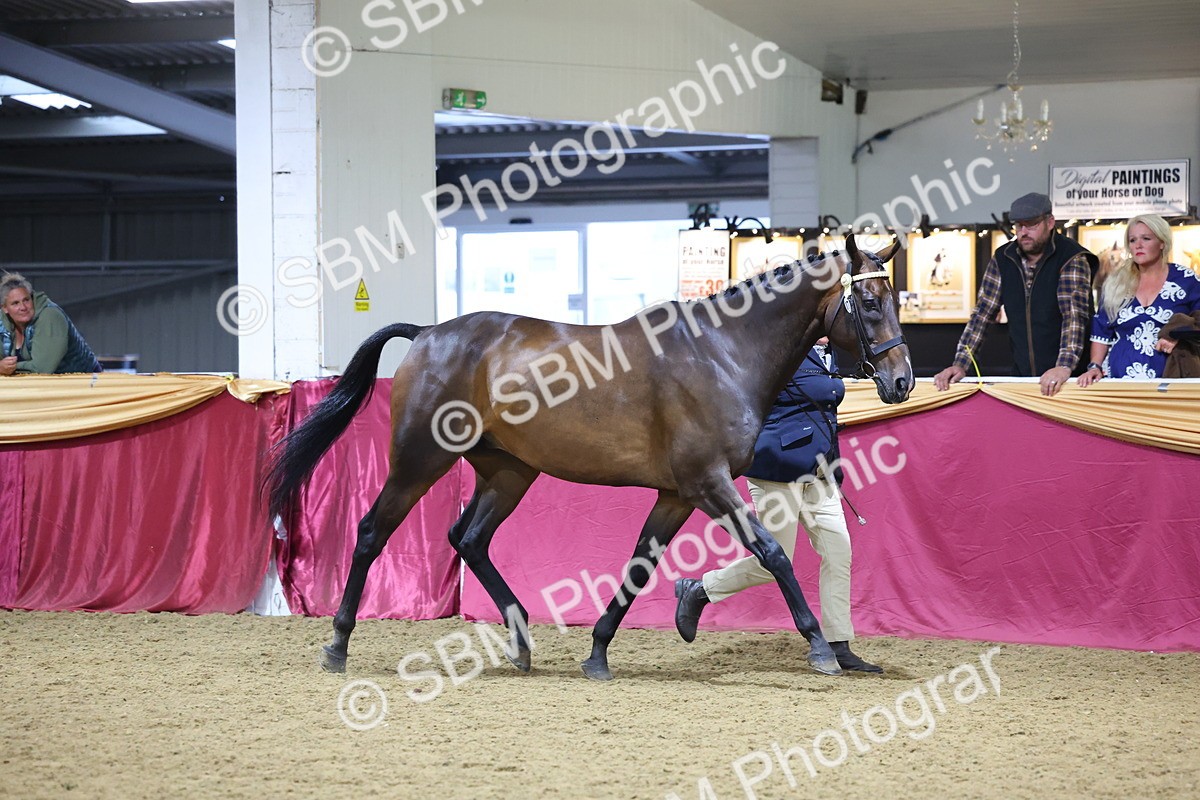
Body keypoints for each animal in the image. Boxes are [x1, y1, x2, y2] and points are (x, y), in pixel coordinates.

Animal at [265, 234, 913, 681]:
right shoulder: (709, 484)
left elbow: (639, 565)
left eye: (893, 302)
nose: (902, 381)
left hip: (509, 471)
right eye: (869, 303)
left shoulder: (677, 494)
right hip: (419, 461)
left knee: (468, 538)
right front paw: (820, 648)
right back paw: (338, 645)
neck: (722, 352)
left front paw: (598, 652)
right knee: (372, 532)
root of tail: (428, 333)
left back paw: (522, 643)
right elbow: (773, 553)